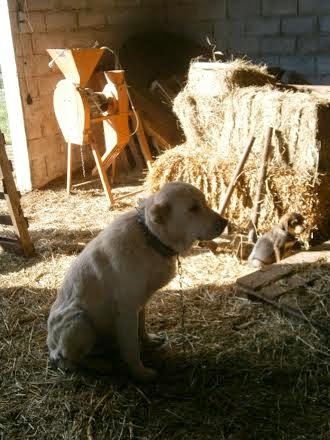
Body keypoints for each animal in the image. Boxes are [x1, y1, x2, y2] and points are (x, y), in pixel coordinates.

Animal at [47, 180, 227, 380]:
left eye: (204, 202)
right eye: (193, 208)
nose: (225, 222)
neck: (150, 237)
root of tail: (52, 348)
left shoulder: (141, 304)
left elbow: (141, 328)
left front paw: (148, 341)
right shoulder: (126, 310)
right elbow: (131, 349)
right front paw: (140, 373)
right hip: (79, 322)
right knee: (71, 360)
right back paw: (100, 365)